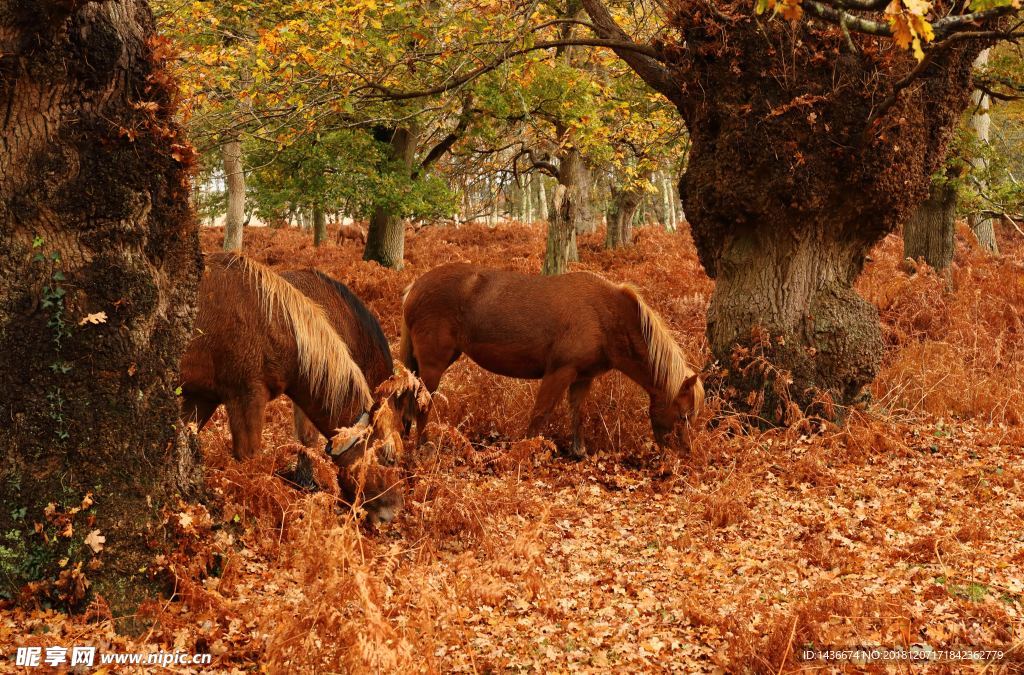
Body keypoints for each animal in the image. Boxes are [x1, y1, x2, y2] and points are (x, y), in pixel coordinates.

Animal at [399, 261, 704, 456]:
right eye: (683, 415)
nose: (685, 455)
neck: (605, 316)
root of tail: (414, 288)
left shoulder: (582, 378)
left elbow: (577, 414)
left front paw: (578, 453)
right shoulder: (559, 372)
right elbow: (540, 416)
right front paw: (523, 455)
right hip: (433, 365)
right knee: (422, 403)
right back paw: (422, 447)